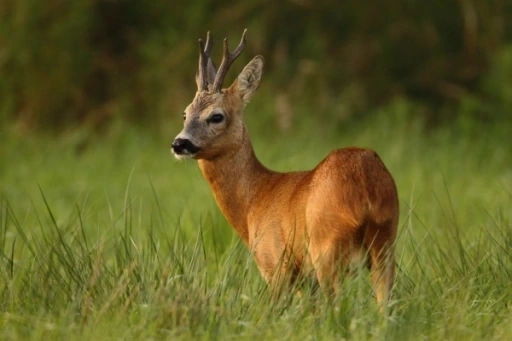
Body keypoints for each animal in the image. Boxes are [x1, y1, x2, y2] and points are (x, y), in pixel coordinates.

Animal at [172, 28, 400, 306]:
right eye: (185, 114)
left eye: (217, 116)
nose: (179, 143)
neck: (254, 199)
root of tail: (366, 185)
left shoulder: (274, 263)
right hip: (385, 240)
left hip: (327, 247)